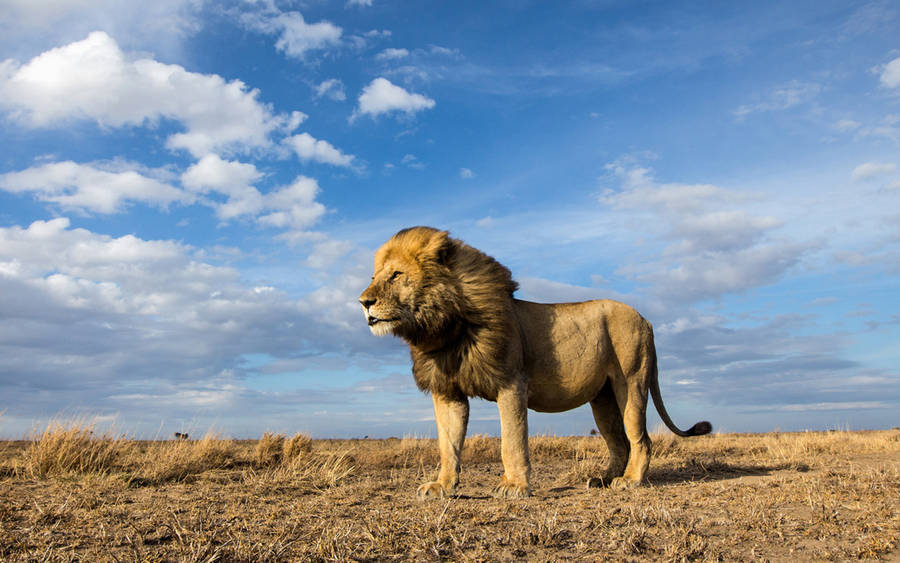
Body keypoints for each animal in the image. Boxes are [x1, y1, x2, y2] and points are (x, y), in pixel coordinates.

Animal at [359, 226, 711, 499]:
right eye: (374, 276)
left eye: (396, 275)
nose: (364, 302)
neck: (444, 327)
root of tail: (646, 319)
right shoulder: (447, 393)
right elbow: (448, 445)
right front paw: (442, 487)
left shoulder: (512, 383)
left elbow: (512, 441)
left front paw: (514, 486)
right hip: (603, 398)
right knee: (619, 441)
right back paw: (602, 479)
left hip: (632, 382)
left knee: (640, 438)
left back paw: (629, 481)